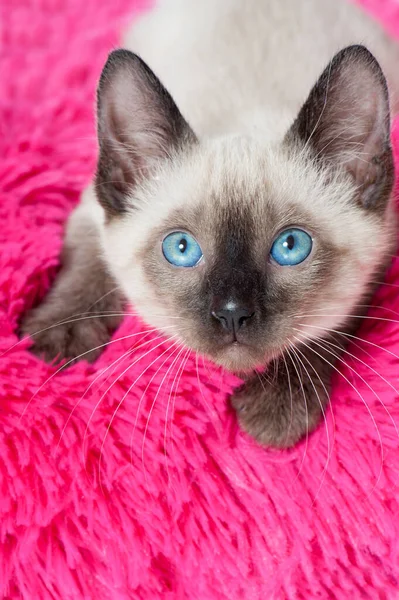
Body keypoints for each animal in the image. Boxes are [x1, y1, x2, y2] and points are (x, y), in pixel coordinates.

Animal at [21, 0, 399, 446]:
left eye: (291, 247)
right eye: (182, 249)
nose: (232, 313)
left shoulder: (382, 248)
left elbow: (330, 326)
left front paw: (277, 408)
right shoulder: (89, 213)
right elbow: (87, 266)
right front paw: (57, 339)